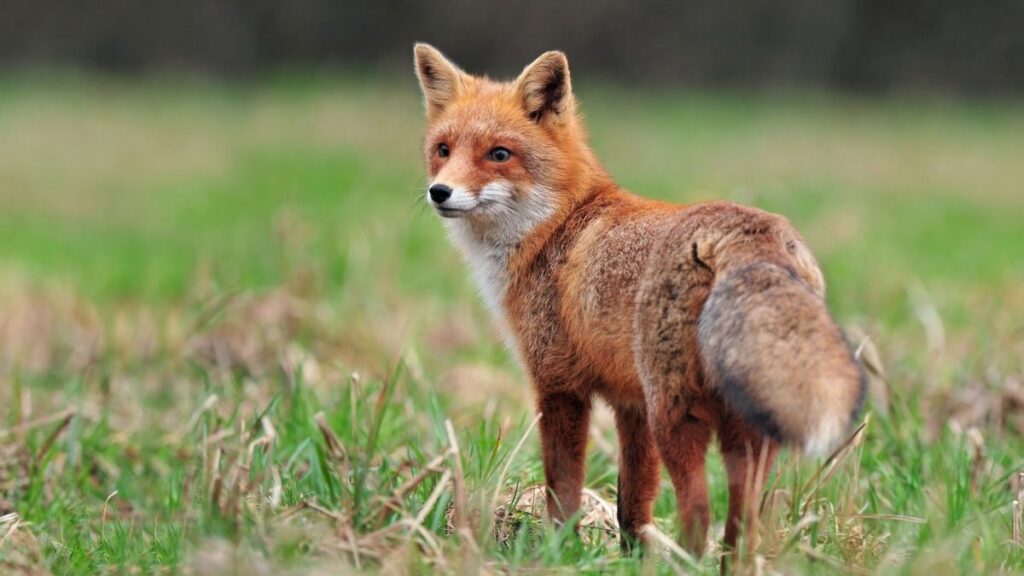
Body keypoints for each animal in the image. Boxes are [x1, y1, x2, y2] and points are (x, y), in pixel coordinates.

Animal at [413, 43, 865, 561]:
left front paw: (560, 552)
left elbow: (563, 488)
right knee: (743, 520)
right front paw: (630, 557)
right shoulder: (631, 404)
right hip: (741, 428)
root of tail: (749, 232)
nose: (440, 192)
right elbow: (633, 502)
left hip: (678, 416)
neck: (555, 227)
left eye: (499, 154)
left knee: (698, 511)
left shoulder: (559, 385)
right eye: (443, 150)